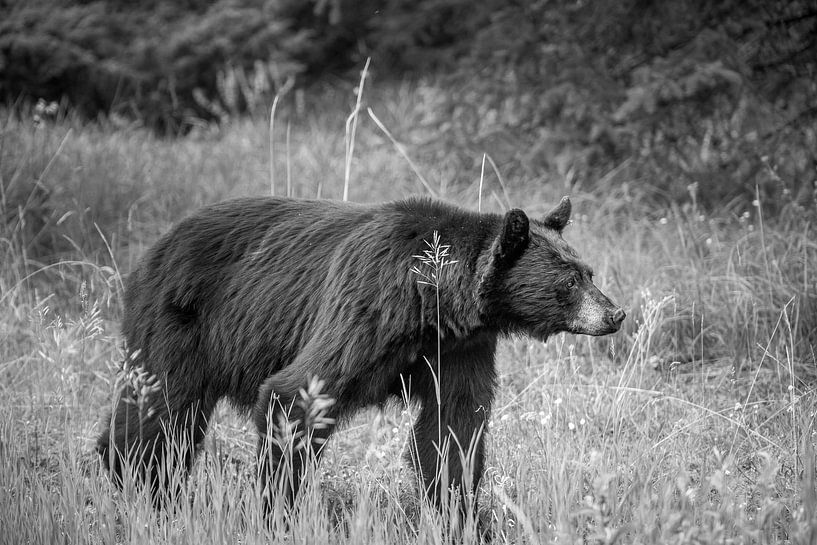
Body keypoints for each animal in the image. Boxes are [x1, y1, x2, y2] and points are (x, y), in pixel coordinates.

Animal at [99, 198, 624, 520]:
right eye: (571, 281)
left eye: (589, 272)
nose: (615, 313)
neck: (432, 300)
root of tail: (155, 246)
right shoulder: (367, 306)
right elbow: (297, 394)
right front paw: (277, 509)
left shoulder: (459, 347)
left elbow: (452, 426)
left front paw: (457, 512)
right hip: (179, 322)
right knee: (162, 408)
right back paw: (137, 482)